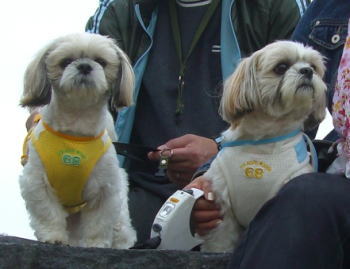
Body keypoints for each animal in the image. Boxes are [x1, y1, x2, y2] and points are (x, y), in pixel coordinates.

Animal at [18, 32, 137, 248]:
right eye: (65, 62)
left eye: (101, 62)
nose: (84, 66)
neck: (76, 130)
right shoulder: (37, 182)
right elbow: (48, 212)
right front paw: (54, 236)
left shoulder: (105, 188)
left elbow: (99, 221)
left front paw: (96, 244)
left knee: (120, 228)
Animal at [201, 40, 326, 251]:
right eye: (281, 67)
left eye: (314, 66)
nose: (307, 71)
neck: (263, 143)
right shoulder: (224, 210)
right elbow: (221, 241)